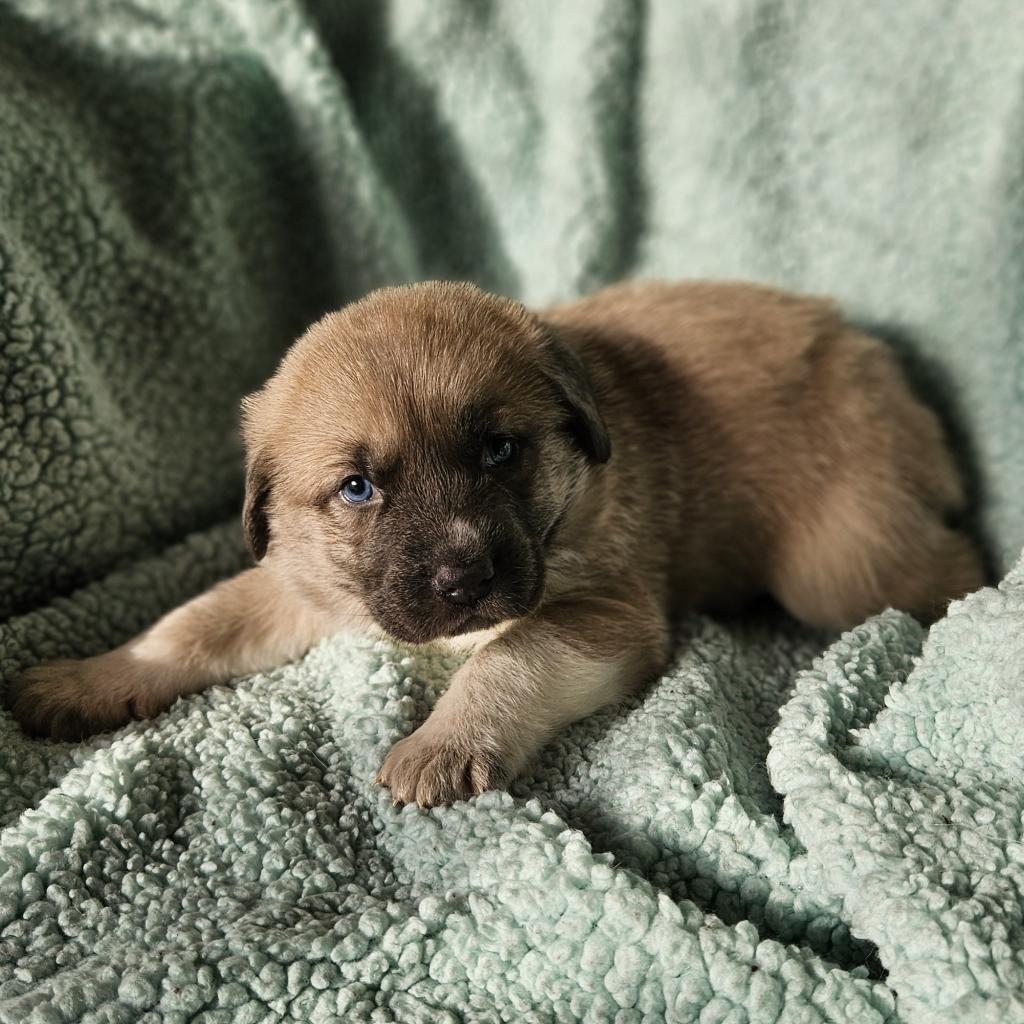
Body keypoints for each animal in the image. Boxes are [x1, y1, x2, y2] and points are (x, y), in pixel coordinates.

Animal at [8, 282, 983, 806]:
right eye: (357, 488)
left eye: (498, 450)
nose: (463, 576)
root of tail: (869, 352)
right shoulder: (303, 583)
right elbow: (190, 625)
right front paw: (89, 679)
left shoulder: (602, 611)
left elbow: (507, 658)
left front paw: (442, 743)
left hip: (839, 564)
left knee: (946, 567)